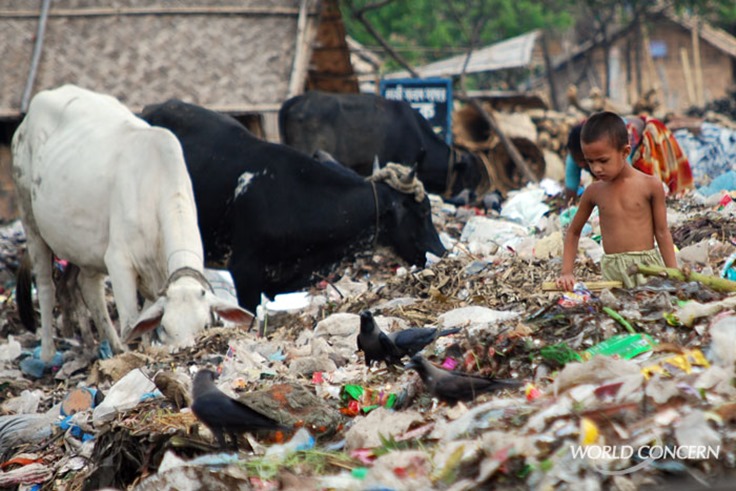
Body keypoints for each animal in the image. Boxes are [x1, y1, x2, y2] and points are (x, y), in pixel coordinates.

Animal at [10, 84, 253, 364]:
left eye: (204, 325)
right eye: (166, 327)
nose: (185, 352)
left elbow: (144, 323)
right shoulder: (119, 261)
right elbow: (130, 323)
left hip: (83, 245)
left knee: (86, 286)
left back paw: (106, 346)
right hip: (30, 219)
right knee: (46, 286)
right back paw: (49, 353)